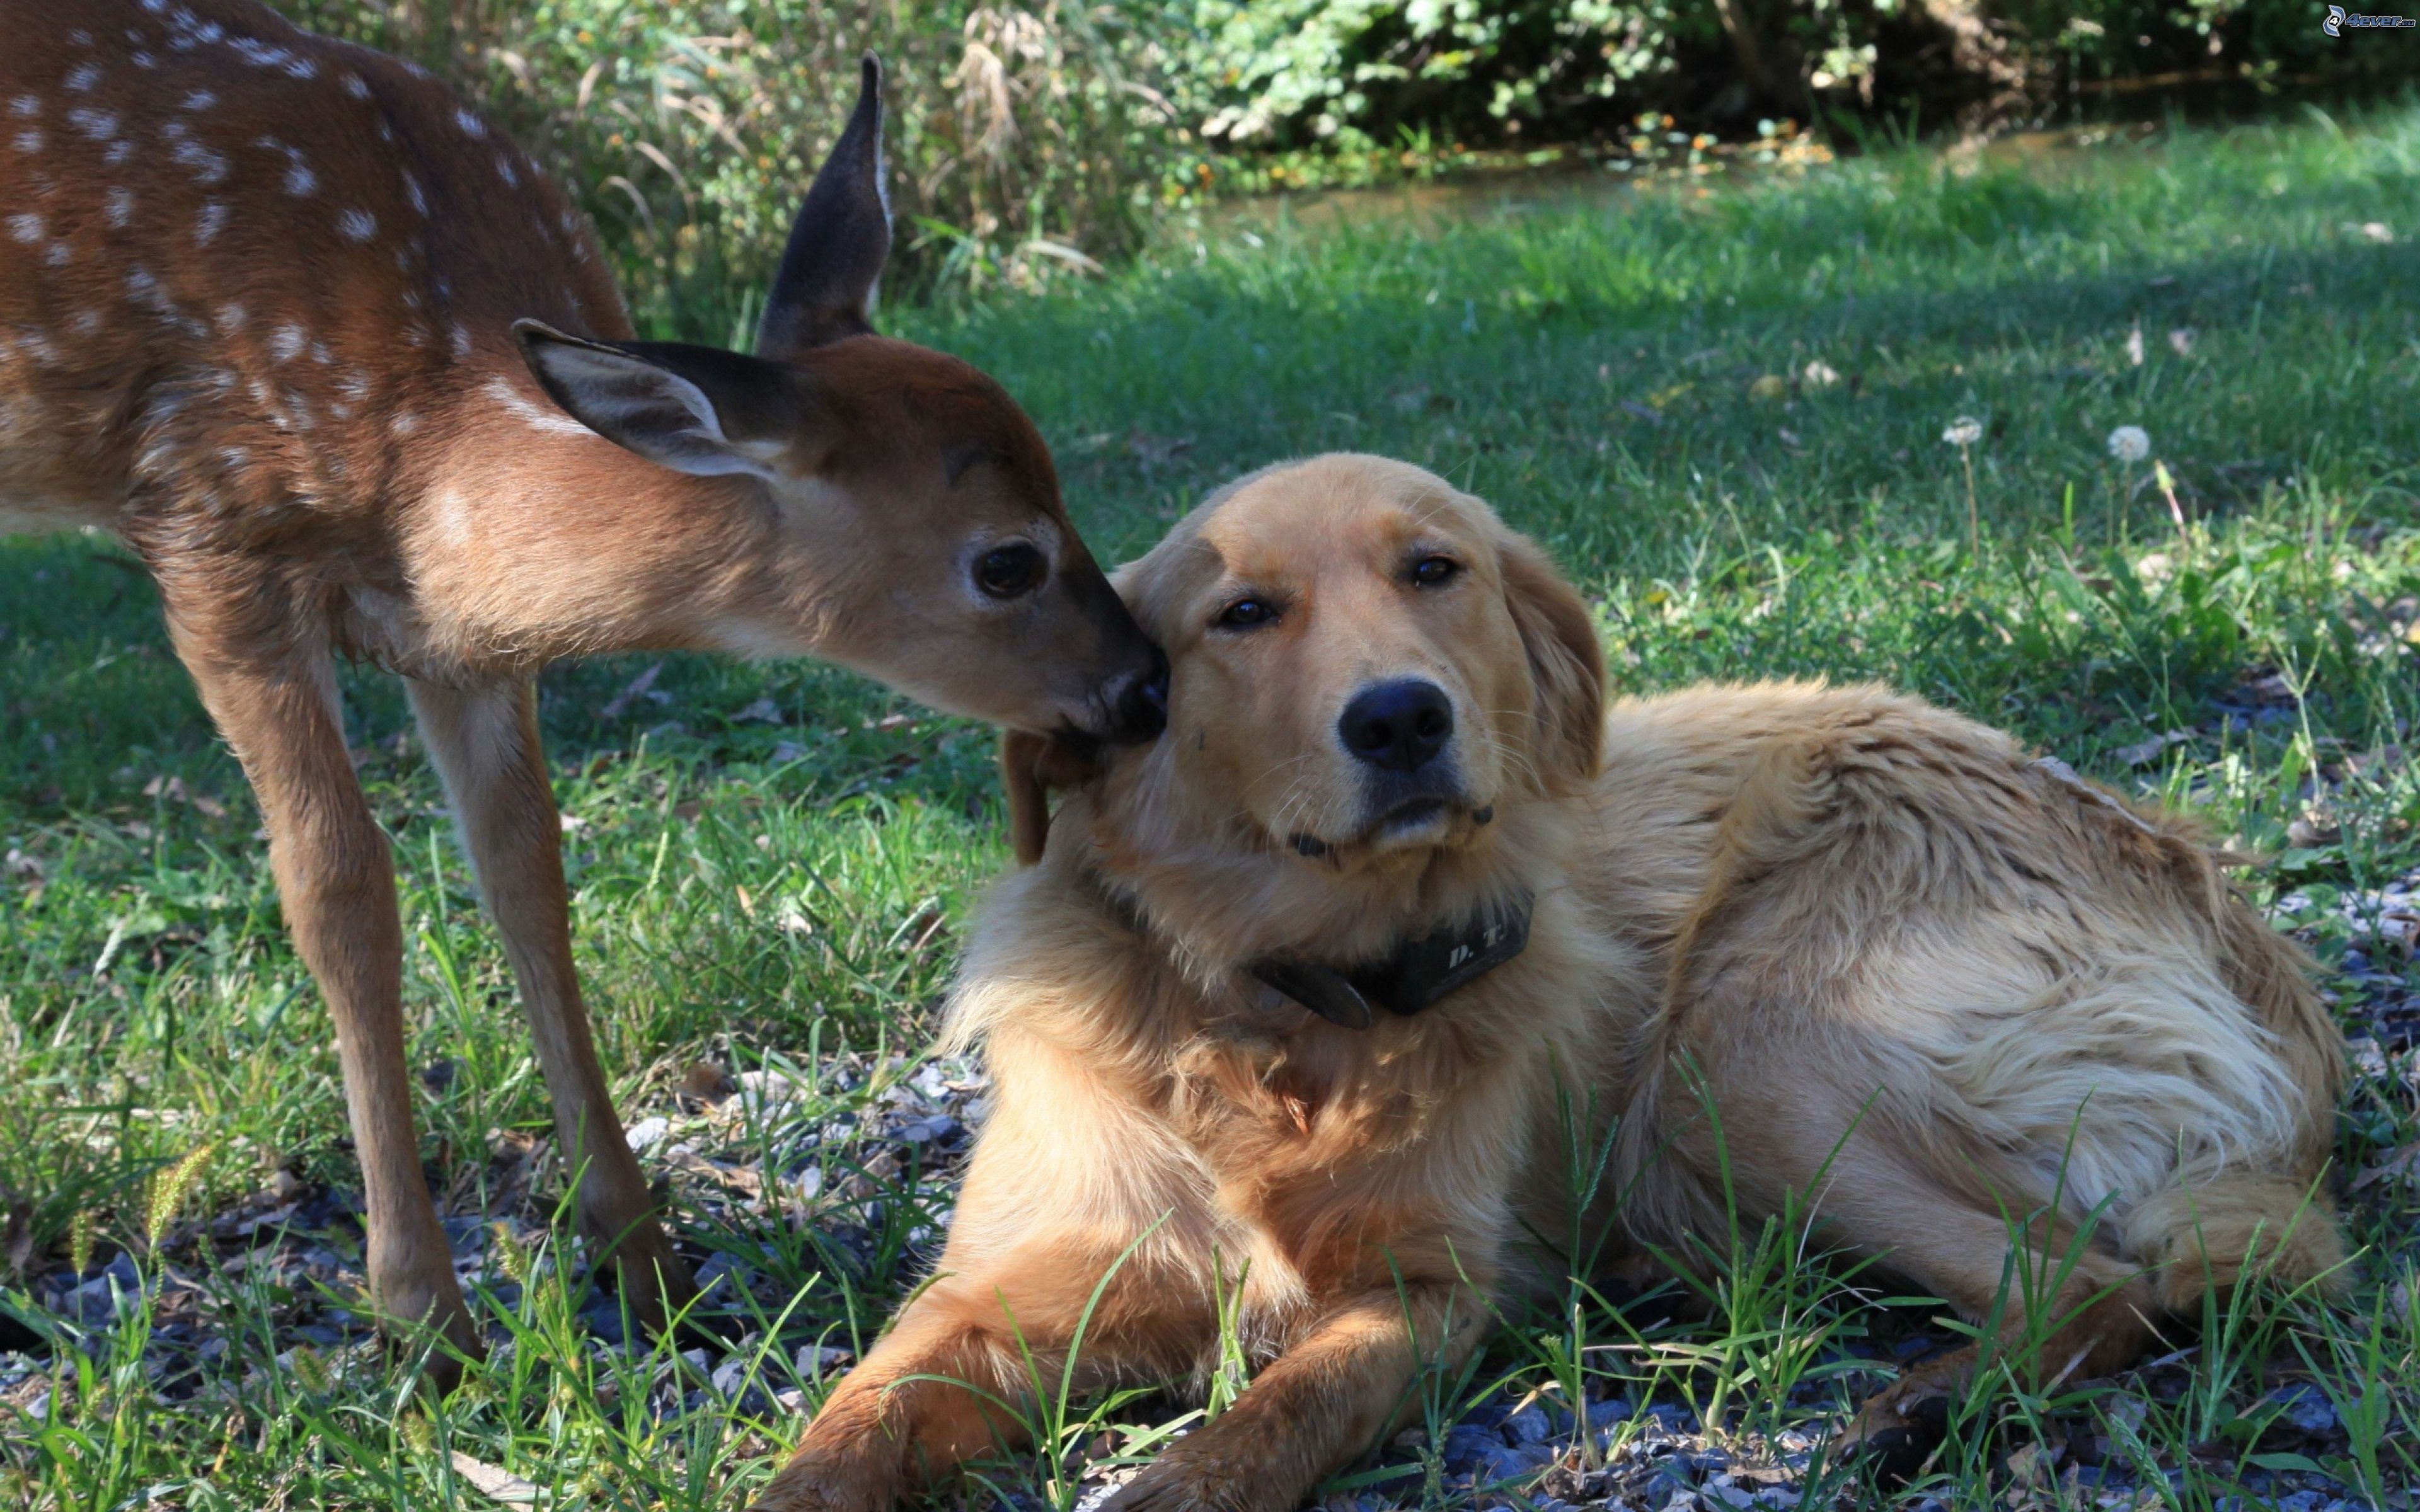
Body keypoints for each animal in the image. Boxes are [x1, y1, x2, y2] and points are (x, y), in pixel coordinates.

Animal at [755, 450, 2342, 1509]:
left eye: (1433, 569)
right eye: (1241, 613)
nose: (1401, 718)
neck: (1280, 1004)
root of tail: (2211, 899)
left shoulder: (1425, 1295)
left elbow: (1273, 1414)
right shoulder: (984, 1301)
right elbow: (844, 1429)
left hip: (1732, 1056)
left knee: (2095, 1279)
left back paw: (1913, 1411)